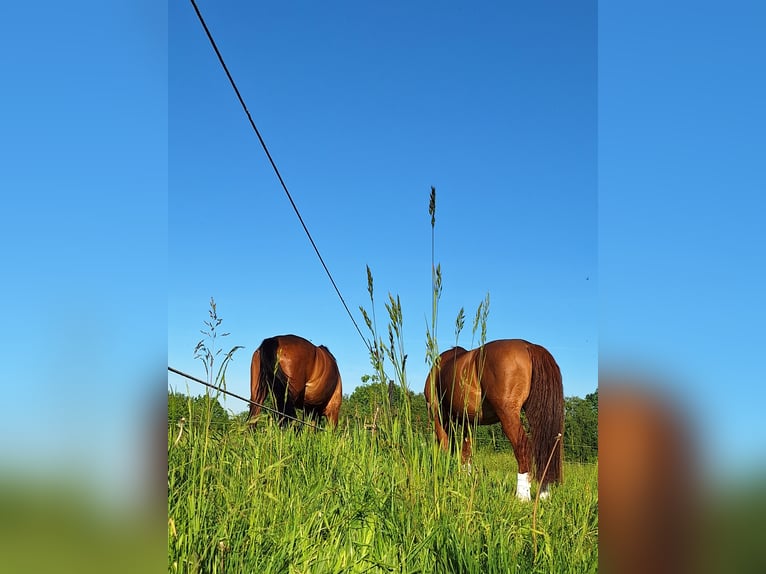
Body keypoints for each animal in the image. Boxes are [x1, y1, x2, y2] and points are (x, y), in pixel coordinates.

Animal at [426, 340, 564, 502]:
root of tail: (528, 345)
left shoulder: (438, 416)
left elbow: (447, 447)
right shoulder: (468, 422)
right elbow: (466, 452)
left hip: (508, 414)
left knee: (523, 446)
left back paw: (522, 497)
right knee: (546, 448)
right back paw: (543, 495)